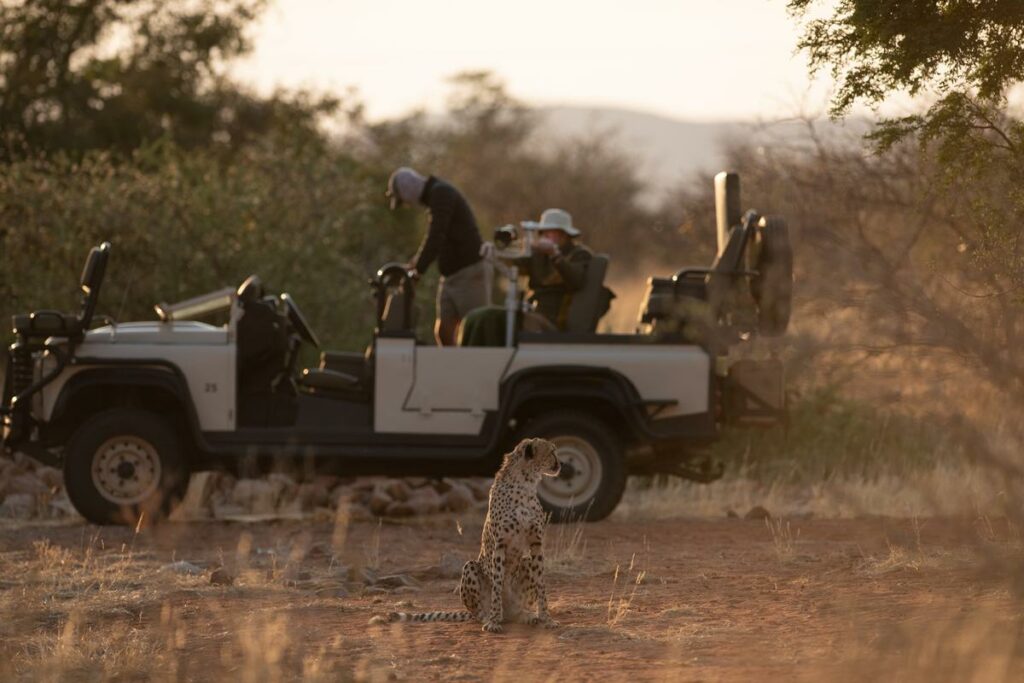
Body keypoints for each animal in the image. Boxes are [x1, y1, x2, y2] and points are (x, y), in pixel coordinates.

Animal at [382, 440, 565, 634]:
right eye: (552, 452)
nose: (561, 464)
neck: (525, 484)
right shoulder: (500, 545)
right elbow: (497, 584)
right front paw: (493, 621)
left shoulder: (536, 543)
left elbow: (541, 584)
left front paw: (547, 619)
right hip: (470, 567)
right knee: (477, 611)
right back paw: (489, 616)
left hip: (526, 563)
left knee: (517, 607)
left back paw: (525, 615)